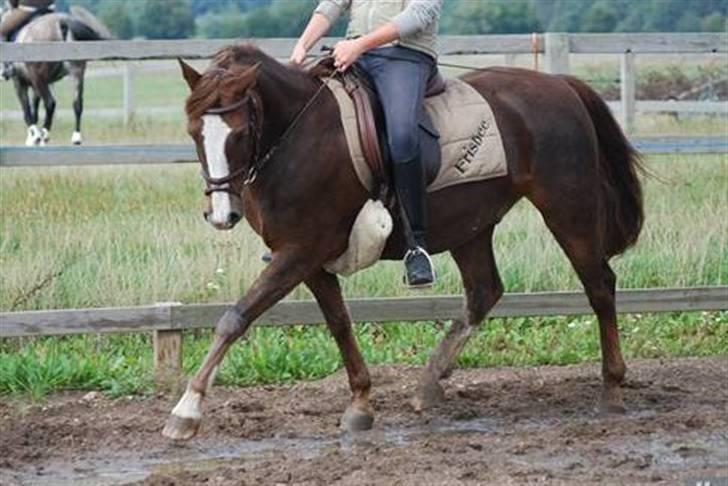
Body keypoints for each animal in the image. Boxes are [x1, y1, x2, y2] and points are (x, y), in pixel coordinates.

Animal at [3, 6, 111, 144]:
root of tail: (62, 22)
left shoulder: (20, 82)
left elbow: (27, 110)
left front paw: (34, 137)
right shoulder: (35, 85)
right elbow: (34, 109)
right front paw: (32, 137)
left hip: (39, 78)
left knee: (50, 103)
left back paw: (44, 134)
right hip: (76, 72)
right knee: (77, 103)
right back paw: (76, 137)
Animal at [161, 45, 644, 440]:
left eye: (240, 134)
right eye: (194, 132)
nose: (221, 215)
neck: (296, 137)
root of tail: (561, 84)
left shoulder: (300, 252)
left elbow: (235, 318)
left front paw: (186, 412)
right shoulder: (308, 260)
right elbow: (339, 323)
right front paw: (359, 404)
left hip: (568, 208)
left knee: (599, 286)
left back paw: (611, 391)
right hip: (470, 225)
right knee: (484, 292)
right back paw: (428, 384)